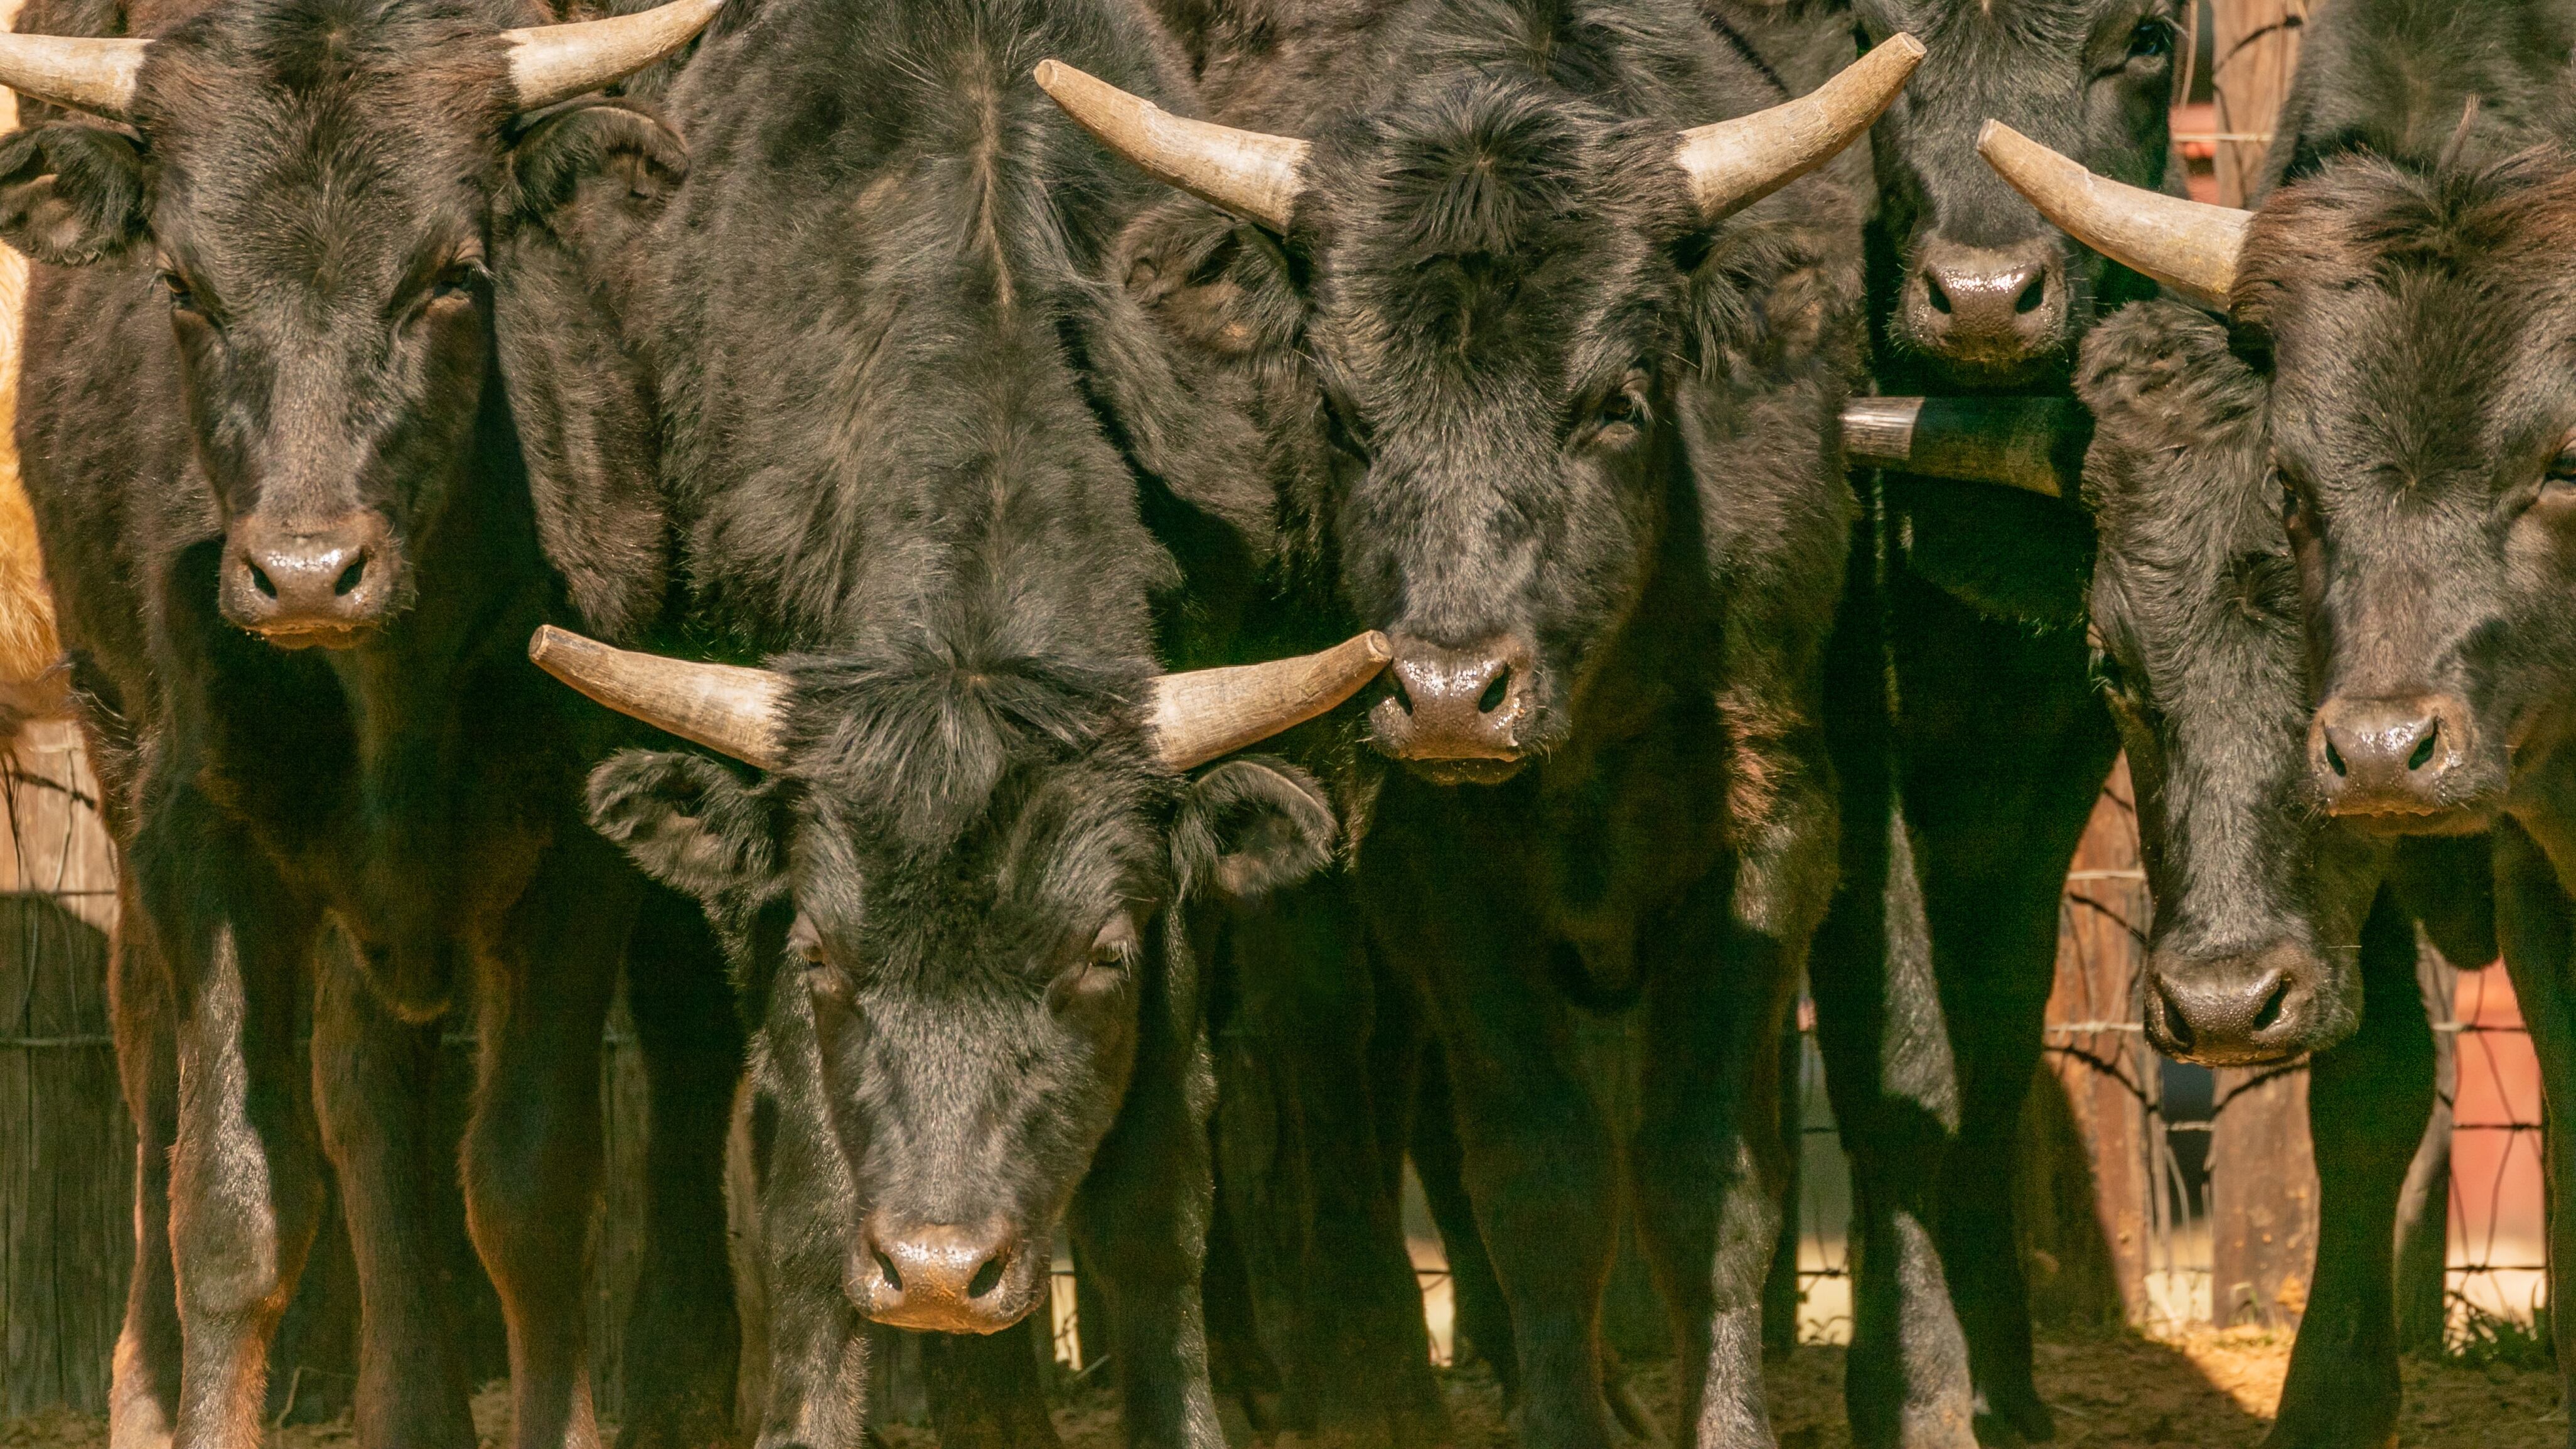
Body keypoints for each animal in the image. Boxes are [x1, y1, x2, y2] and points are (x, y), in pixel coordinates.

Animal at [0, 1, 745, 1445]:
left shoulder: (580, 850)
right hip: (116, 756)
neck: (390, 684)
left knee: (368, 1090)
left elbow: (526, 1181)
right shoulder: (202, 839)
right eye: (184, 284)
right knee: (157, 1076)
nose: (304, 570)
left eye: (450, 275)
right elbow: (233, 1201)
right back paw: (145, 1390)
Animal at [513, 0, 1387, 1442]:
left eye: (1098, 955)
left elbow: (1155, 1203)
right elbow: (810, 1208)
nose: (935, 1265)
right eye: (823, 955)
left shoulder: (1179, 918)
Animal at [1048, 9, 1919, 1442]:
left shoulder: (1771, 828)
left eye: (1617, 399)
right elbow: (1539, 1175)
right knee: (1316, 1075)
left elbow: (1707, 1181)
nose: (1451, 691)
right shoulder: (1426, 862)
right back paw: (1353, 1377)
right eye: (1342, 414)